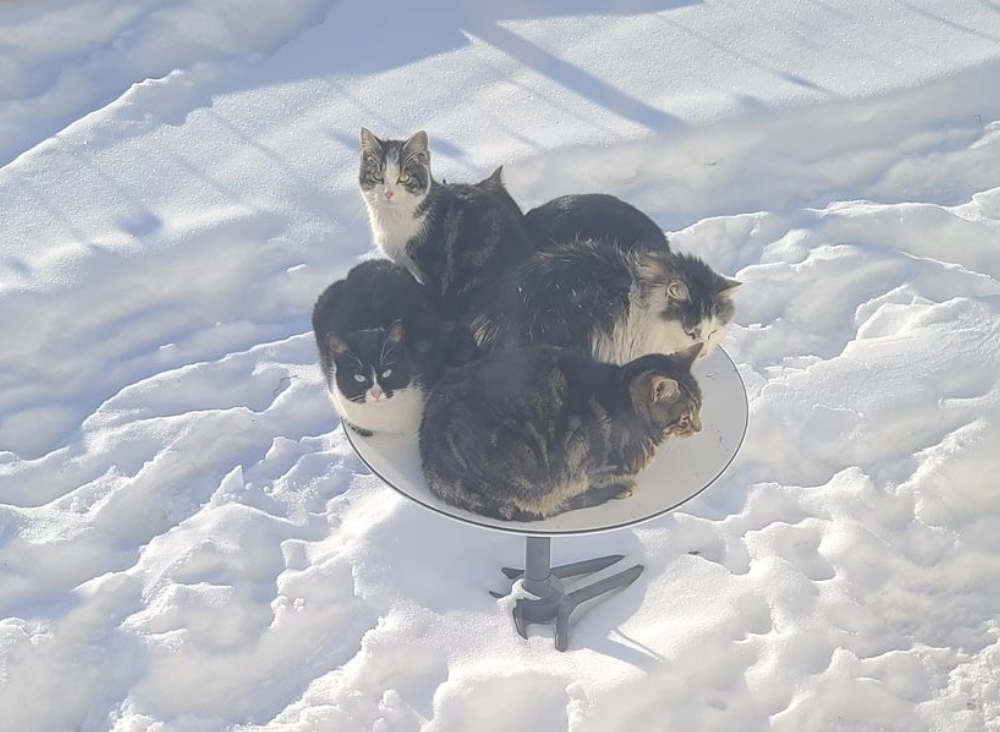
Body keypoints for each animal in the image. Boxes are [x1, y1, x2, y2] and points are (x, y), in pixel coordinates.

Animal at [420, 344, 704, 520]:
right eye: (686, 418)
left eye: (700, 408)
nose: (699, 428)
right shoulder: (590, 463)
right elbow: (603, 476)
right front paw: (624, 485)